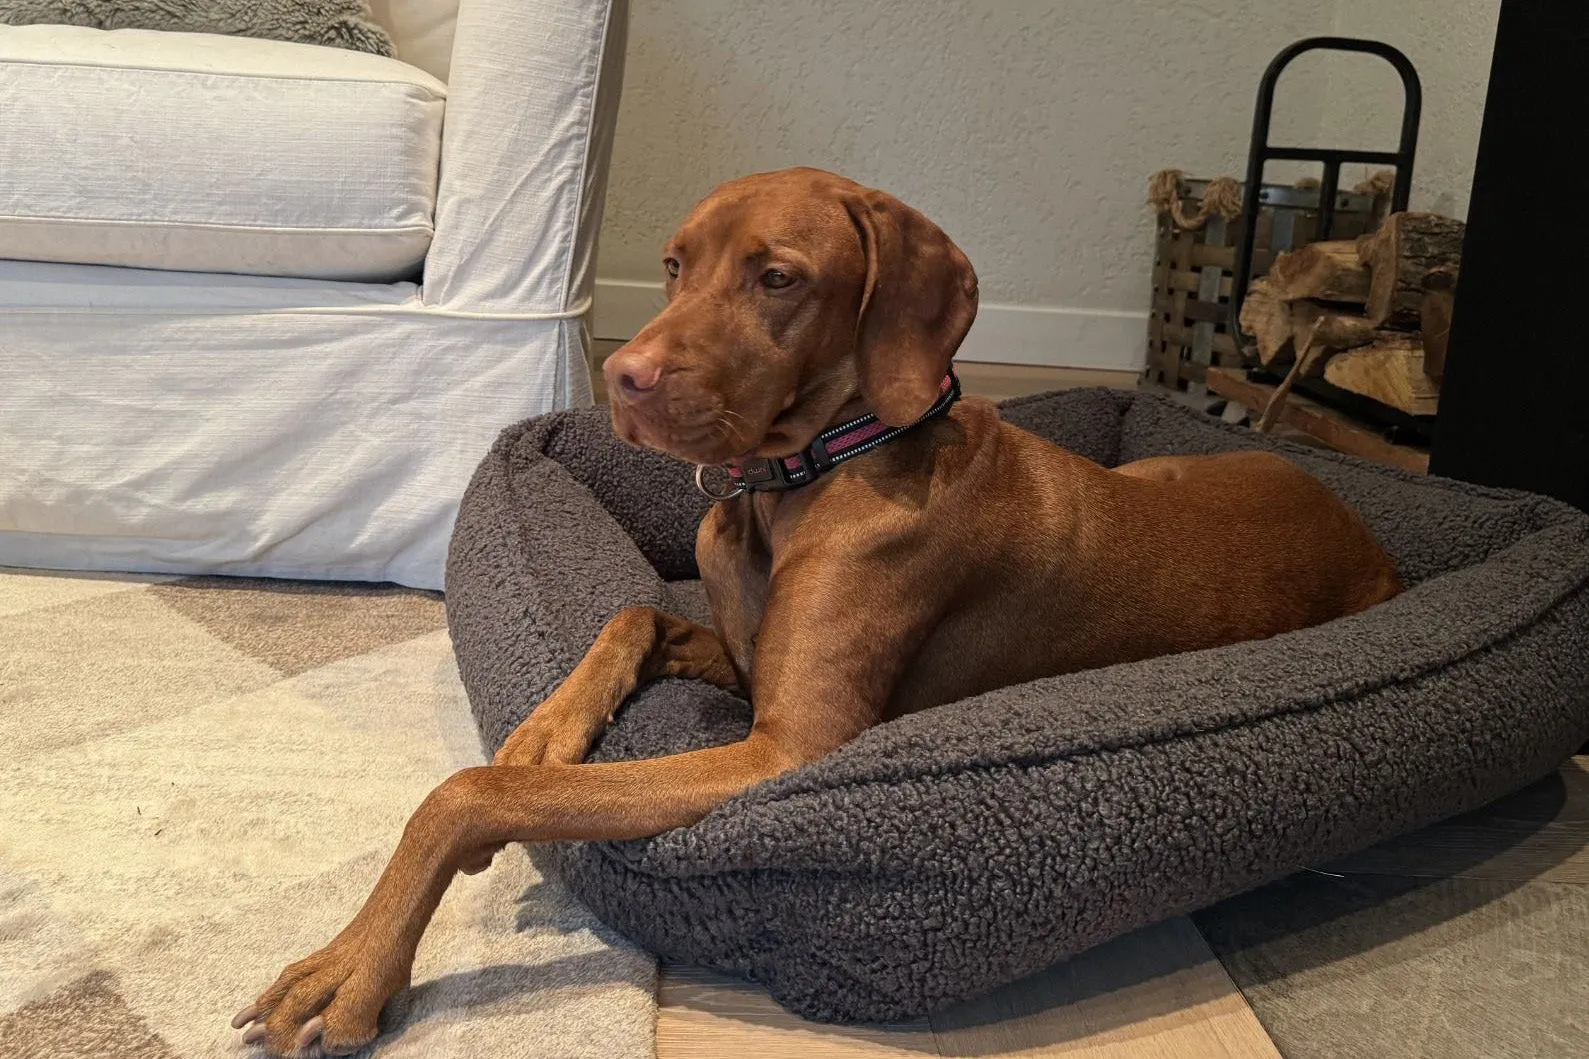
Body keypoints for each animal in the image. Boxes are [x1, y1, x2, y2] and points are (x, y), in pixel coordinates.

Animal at [230, 169, 1398, 1049]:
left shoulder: (783, 746)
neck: (803, 476)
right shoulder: (738, 660)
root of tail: (1367, 531)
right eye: (673, 265)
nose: (624, 379)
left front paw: (350, 965)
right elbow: (628, 616)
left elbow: (465, 794)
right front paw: (545, 731)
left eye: (778, 277)